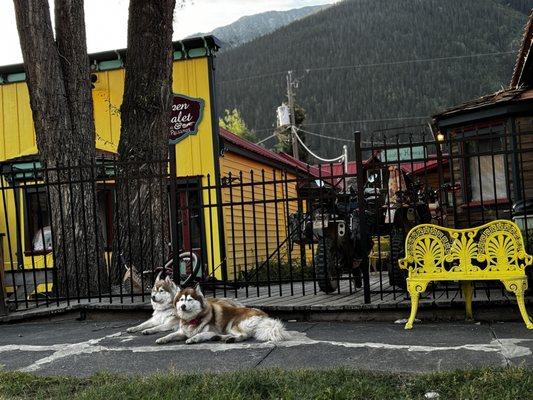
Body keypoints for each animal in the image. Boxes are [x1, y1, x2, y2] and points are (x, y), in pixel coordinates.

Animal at [155, 284, 286, 344]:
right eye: (181, 300)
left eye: (190, 300)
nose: (182, 306)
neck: (193, 319)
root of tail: (264, 316)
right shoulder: (182, 332)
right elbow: (170, 335)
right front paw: (162, 339)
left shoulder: (211, 331)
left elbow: (200, 334)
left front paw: (193, 339)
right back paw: (222, 338)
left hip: (234, 324)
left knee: (243, 335)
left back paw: (229, 339)